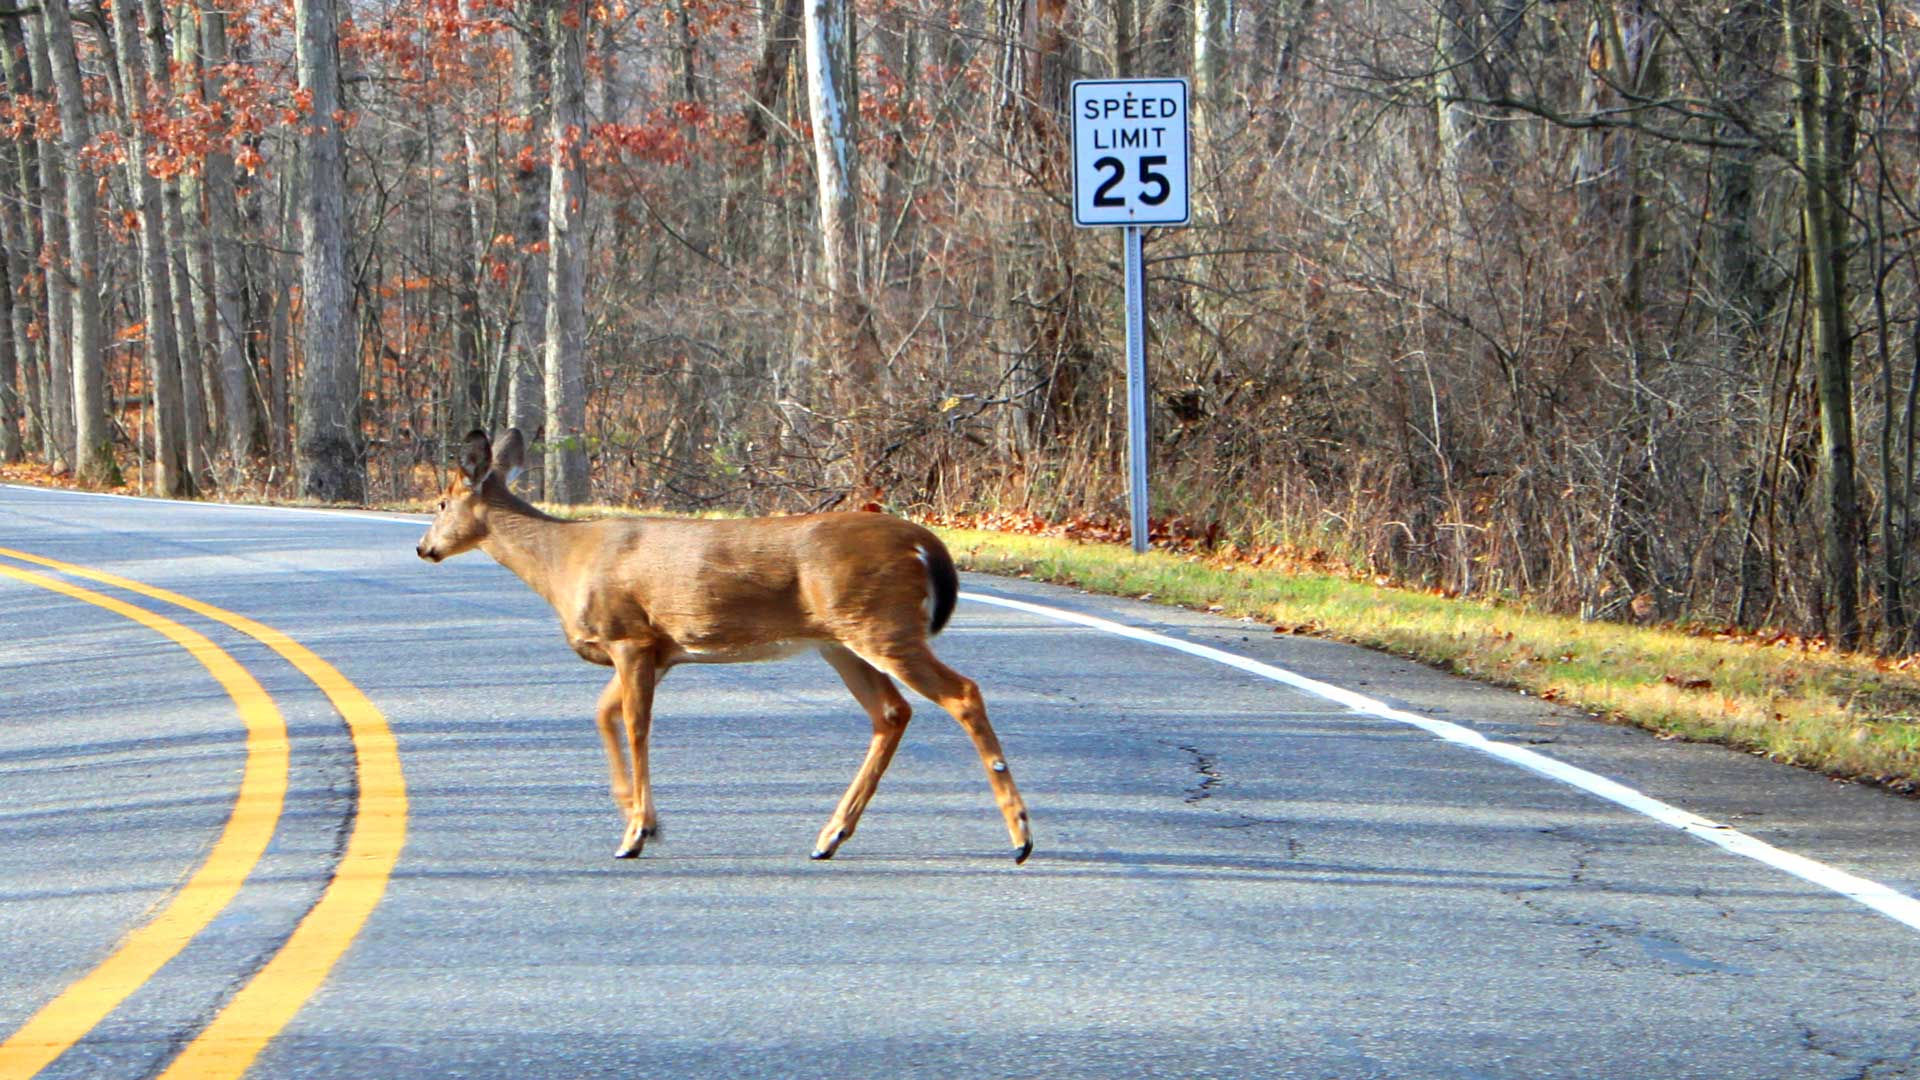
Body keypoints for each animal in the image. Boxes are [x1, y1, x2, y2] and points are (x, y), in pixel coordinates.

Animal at [408, 426, 1036, 857]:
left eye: (440, 502)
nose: (423, 548)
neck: (563, 562)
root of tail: (924, 544)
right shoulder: (656, 651)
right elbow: (603, 715)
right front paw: (643, 819)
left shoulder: (630, 636)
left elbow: (635, 727)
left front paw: (634, 833)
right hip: (841, 639)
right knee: (892, 712)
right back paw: (830, 835)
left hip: (882, 624)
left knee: (962, 693)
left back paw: (1020, 837)